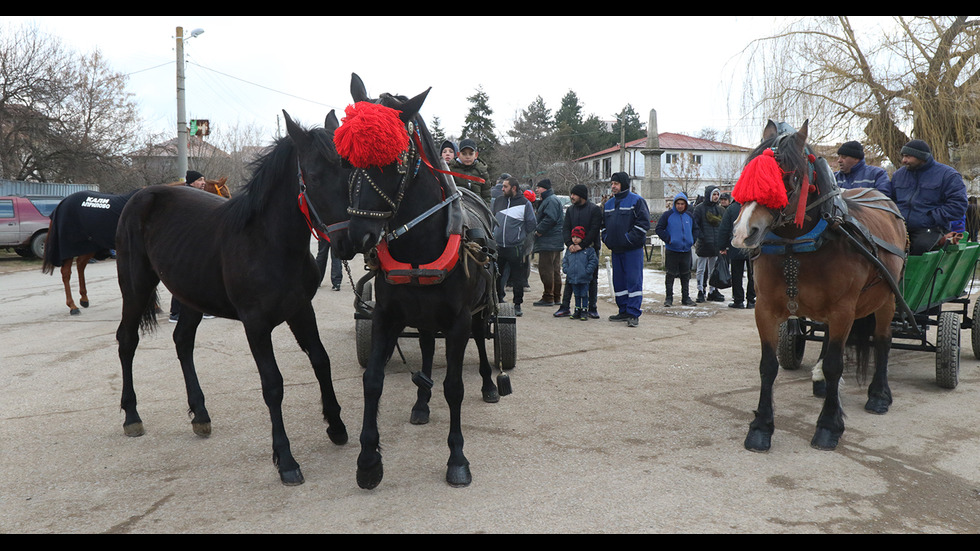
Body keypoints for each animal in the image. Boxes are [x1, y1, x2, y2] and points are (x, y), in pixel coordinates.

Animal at [43, 179, 233, 316]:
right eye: (225, 193)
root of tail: (62, 203)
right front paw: (154, 307)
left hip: (90, 244)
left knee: (81, 266)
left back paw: (84, 298)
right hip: (70, 247)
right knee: (66, 272)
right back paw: (73, 306)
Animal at [114, 110, 354, 486]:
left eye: (350, 171)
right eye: (313, 177)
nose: (348, 241)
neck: (270, 242)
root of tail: (140, 196)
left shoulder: (301, 310)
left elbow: (321, 360)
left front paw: (337, 426)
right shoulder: (256, 325)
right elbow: (273, 384)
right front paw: (286, 460)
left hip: (191, 294)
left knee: (182, 341)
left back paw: (200, 415)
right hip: (136, 287)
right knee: (127, 340)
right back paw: (132, 416)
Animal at [338, 72, 506, 488]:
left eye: (393, 160)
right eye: (346, 159)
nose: (357, 236)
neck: (419, 245)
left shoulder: (459, 320)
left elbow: (454, 387)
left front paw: (457, 458)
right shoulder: (385, 316)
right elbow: (373, 380)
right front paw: (368, 460)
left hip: (479, 310)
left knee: (481, 341)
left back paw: (489, 384)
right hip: (426, 317)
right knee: (429, 350)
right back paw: (421, 400)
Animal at [732, 121, 908, 452]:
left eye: (789, 177)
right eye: (748, 172)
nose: (743, 233)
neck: (800, 246)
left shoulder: (843, 310)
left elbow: (836, 364)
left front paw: (829, 425)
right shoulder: (765, 308)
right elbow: (768, 366)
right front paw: (761, 427)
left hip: (887, 298)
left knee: (882, 341)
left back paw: (879, 394)